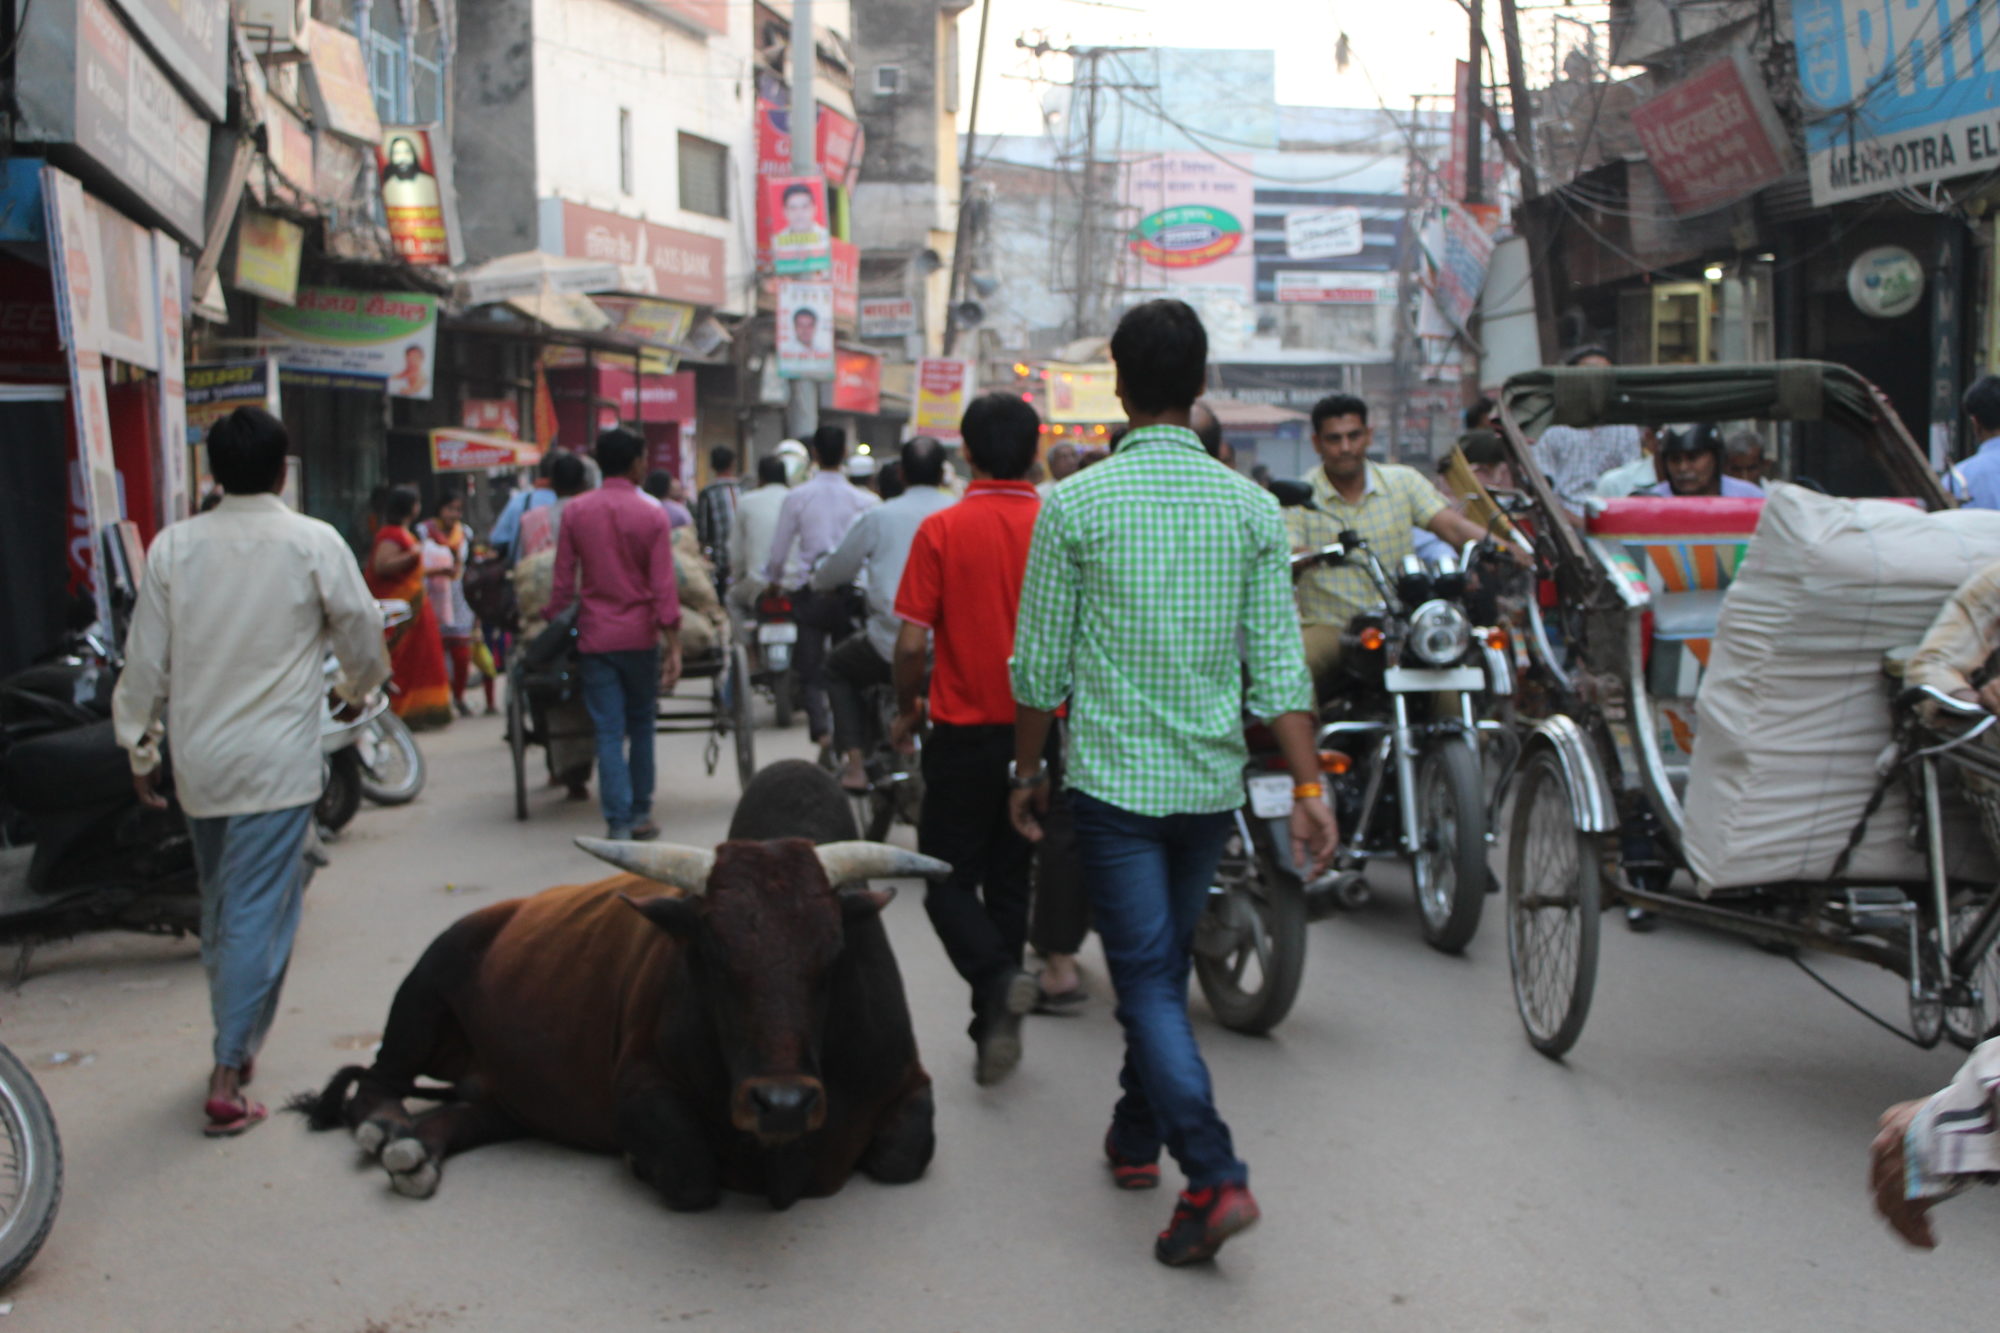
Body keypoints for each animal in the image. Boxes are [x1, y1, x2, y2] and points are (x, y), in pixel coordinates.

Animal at [298, 756, 952, 1200]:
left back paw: (417, 1150)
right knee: (376, 1082)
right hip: (420, 992)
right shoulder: (638, 1088)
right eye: (710, 954)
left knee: (472, 1113)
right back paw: (387, 1129)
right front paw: (643, 1164)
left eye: (834, 954)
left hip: (512, 1091)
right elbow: (690, 1172)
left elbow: (904, 1154)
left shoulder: (909, 1082)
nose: (783, 1103)